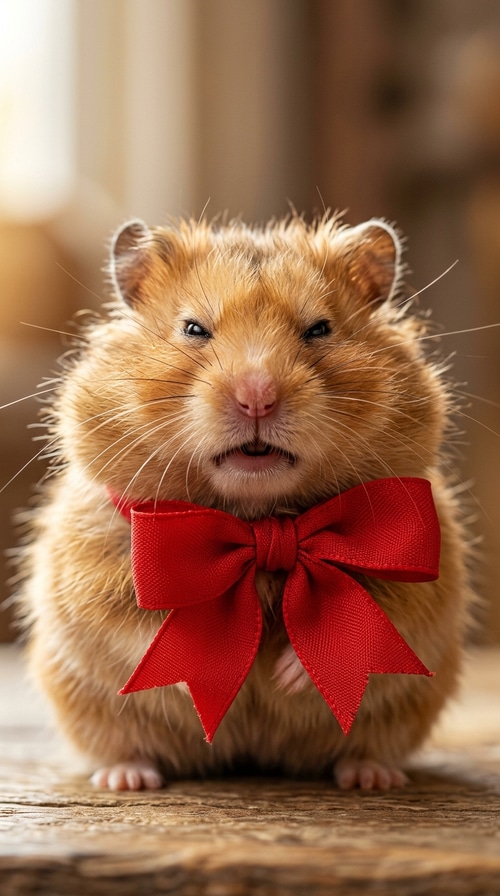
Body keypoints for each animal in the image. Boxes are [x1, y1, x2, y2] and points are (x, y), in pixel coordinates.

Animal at [16, 214, 473, 791]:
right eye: (193, 328)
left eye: (319, 329)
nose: (257, 396)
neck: (258, 522)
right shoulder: (97, 563)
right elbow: (138, 624)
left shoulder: (416, 558)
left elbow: (381, 609)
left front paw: (289, 675)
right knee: (121, 744)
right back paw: (127, 778)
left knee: (369, 747)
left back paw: (371, 777)